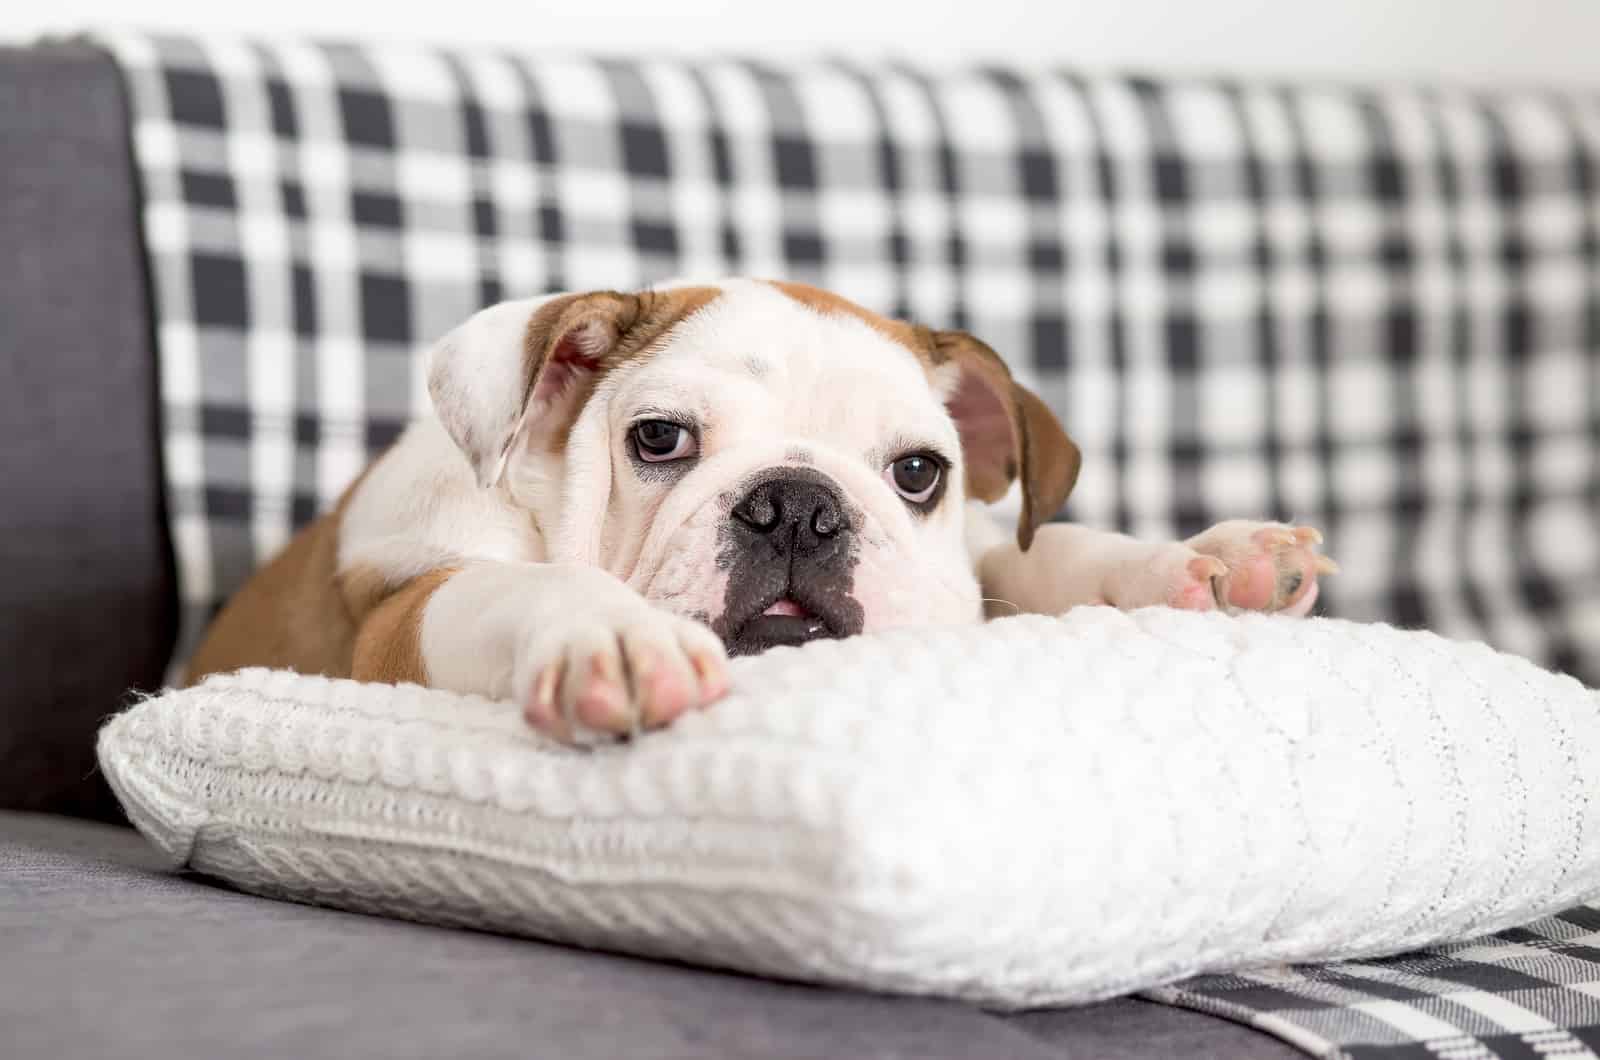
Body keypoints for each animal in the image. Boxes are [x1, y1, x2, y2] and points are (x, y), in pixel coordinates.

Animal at [187, 278, 1337, 742]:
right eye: (659, 440)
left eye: (918, 472)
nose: (799, 508)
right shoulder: (404, 609)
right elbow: (525, 584)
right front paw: (614, 638)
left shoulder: (961, 555)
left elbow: (1030, 550)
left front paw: (1208, 562)